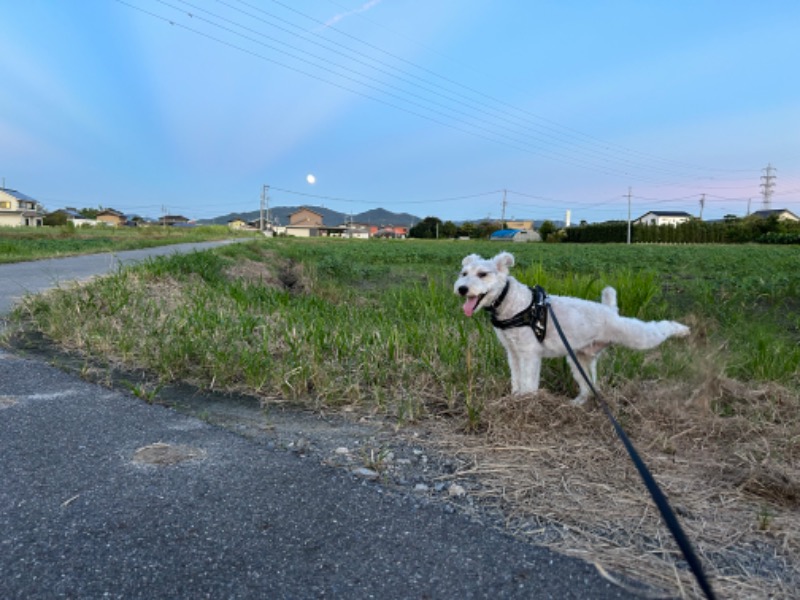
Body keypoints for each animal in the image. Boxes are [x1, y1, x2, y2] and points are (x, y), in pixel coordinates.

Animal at [456, 251, 688, 406]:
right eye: (464, 272)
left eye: (483, 274)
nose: (462, 288)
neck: (512, 302)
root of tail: (610, 310)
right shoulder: (513, 353)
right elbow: (517, 379)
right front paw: (516, 398)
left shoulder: (529, 354)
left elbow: (529, 382)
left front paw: (527, 401)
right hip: (579, 360)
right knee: (589, 388)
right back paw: (577, 403)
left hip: (638, 336)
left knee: (661, 328)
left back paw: (682, 329)